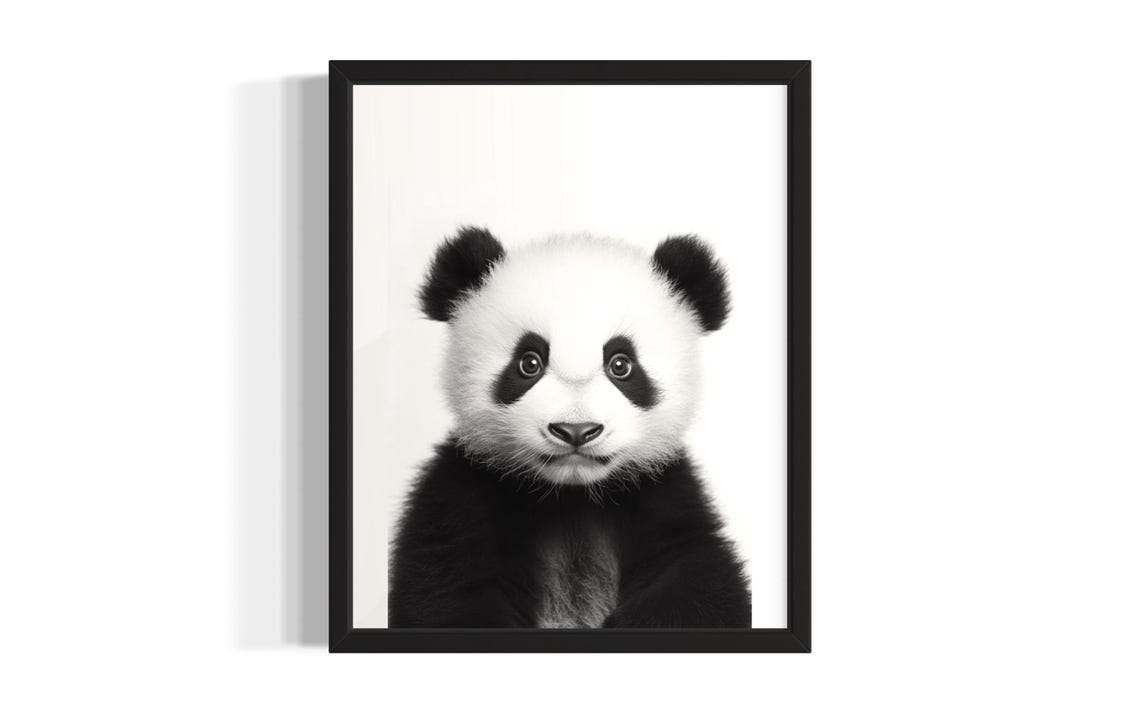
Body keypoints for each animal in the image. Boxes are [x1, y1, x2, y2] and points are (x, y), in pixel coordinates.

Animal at [388, 226, 750, 628]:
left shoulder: (664, 497)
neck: (572, 497)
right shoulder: (461, 498)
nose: (576, 430)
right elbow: (447, 590)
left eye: (621, 364)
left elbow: (699, 583)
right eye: (528, 362)